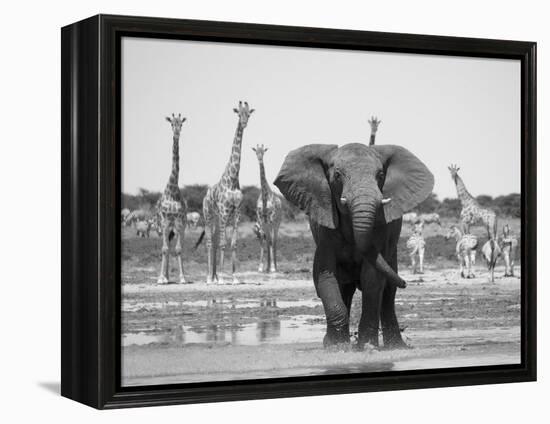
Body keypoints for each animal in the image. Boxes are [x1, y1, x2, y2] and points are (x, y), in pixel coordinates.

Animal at [202, 100, 256, 284]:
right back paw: (209, 278)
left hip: (217, 217)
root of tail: (205, 196)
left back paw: (214, 276)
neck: (232, 178)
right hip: (208, 215)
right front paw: (222, 278)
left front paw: (234, 277)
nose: (245, 123)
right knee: (210, 242)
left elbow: (233, 243)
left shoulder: (236, 211)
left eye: (249, 113)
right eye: (239, 113)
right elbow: (223, 243)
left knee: (215, 240)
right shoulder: (225, 211)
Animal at [276, 144, 436, 350]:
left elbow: (372, 278)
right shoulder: (325, 229)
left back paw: (396, 346)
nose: (406, 283)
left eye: (380, 174)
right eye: (337, 175)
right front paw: (336, 347)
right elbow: (324, 275)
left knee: (388, 291)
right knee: (345, 288)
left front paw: (367, 346)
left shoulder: (381, 228)